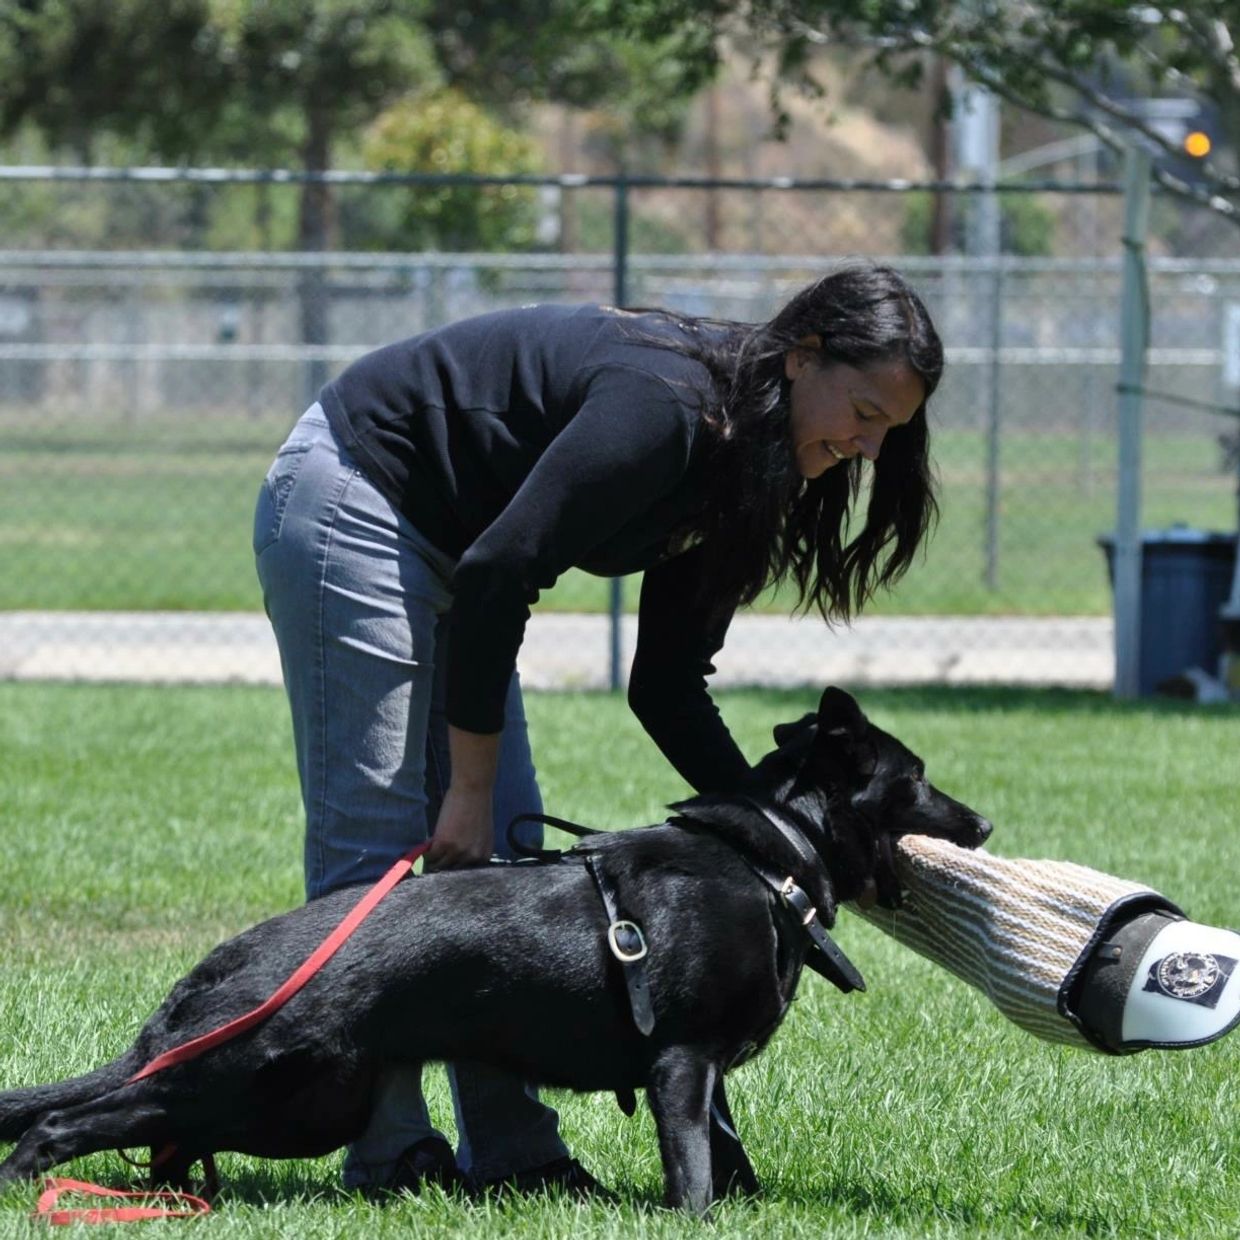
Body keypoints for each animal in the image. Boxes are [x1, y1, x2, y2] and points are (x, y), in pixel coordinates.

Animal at [0, 694, 987, 1215]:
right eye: (917, 778)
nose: (982, 823)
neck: (768, 859)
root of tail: (215, 967)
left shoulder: (707, 1072)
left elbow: (727, 1152)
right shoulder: (681, 1062)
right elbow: (695, 1165)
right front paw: (698, 1220)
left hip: (295, 1108)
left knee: (162, 1136)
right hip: (251, 1082)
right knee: (70, 1122)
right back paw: (25, 1184)